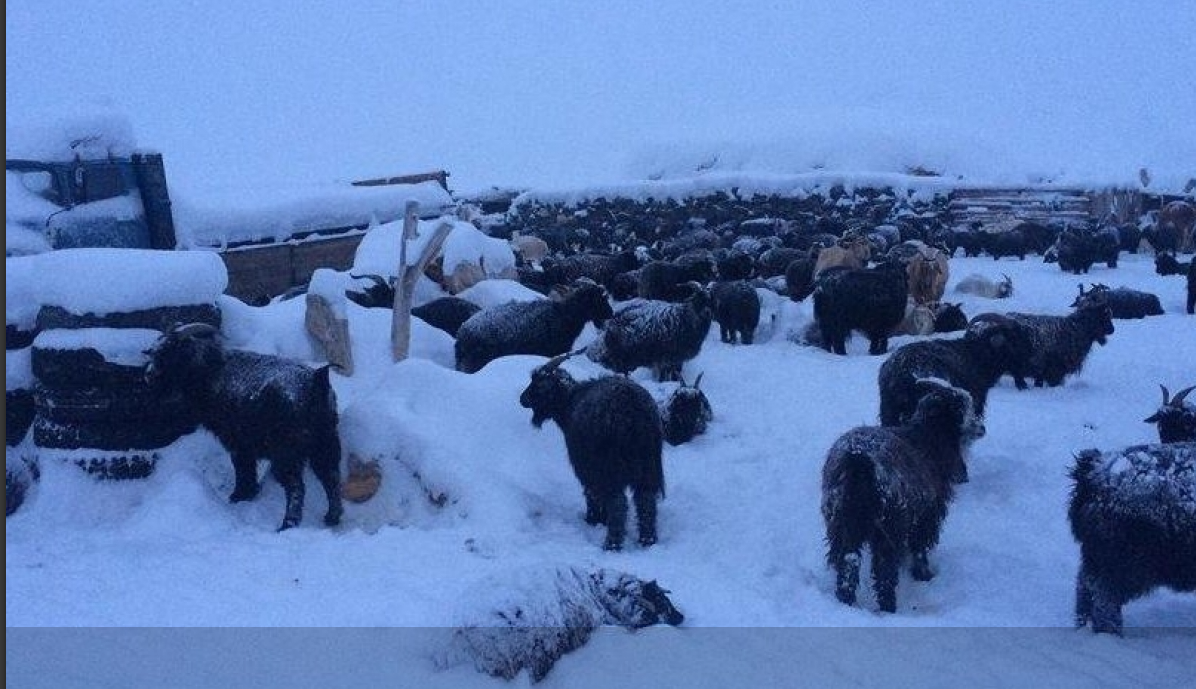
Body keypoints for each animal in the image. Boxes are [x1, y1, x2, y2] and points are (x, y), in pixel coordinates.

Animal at [144, 325, 344, 533]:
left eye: (167, 351)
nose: (148, 375)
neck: (212, 370)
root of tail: (317, 380)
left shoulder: (237, 443)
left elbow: (243, 470)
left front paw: (238, 496)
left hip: (287, 454)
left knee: (297, 487)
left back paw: (287, 524)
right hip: (325, 445)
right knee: (331, 479)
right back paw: (332, 517)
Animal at [516, 351, 664, 552]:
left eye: (538, 383)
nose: (522, 399)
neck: (570, 401)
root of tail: (633, 412)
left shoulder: (586, 467)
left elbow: (592, 493)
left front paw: (594, 520)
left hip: (612, 467)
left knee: (619, 503)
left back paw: (612, 544)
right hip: (648, 467)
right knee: (646, 501)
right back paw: (647, 540)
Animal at [822, 382, 980, 612]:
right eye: (963, 407)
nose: (982, 427)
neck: (929, 437)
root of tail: (859, 462)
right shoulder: (927, 515)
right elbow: (920, 547)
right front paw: (924, 575)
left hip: (842, 522)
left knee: (848, 561)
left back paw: (846, 601)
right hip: (888, 527)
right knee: (884, 570)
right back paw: (888, 607)